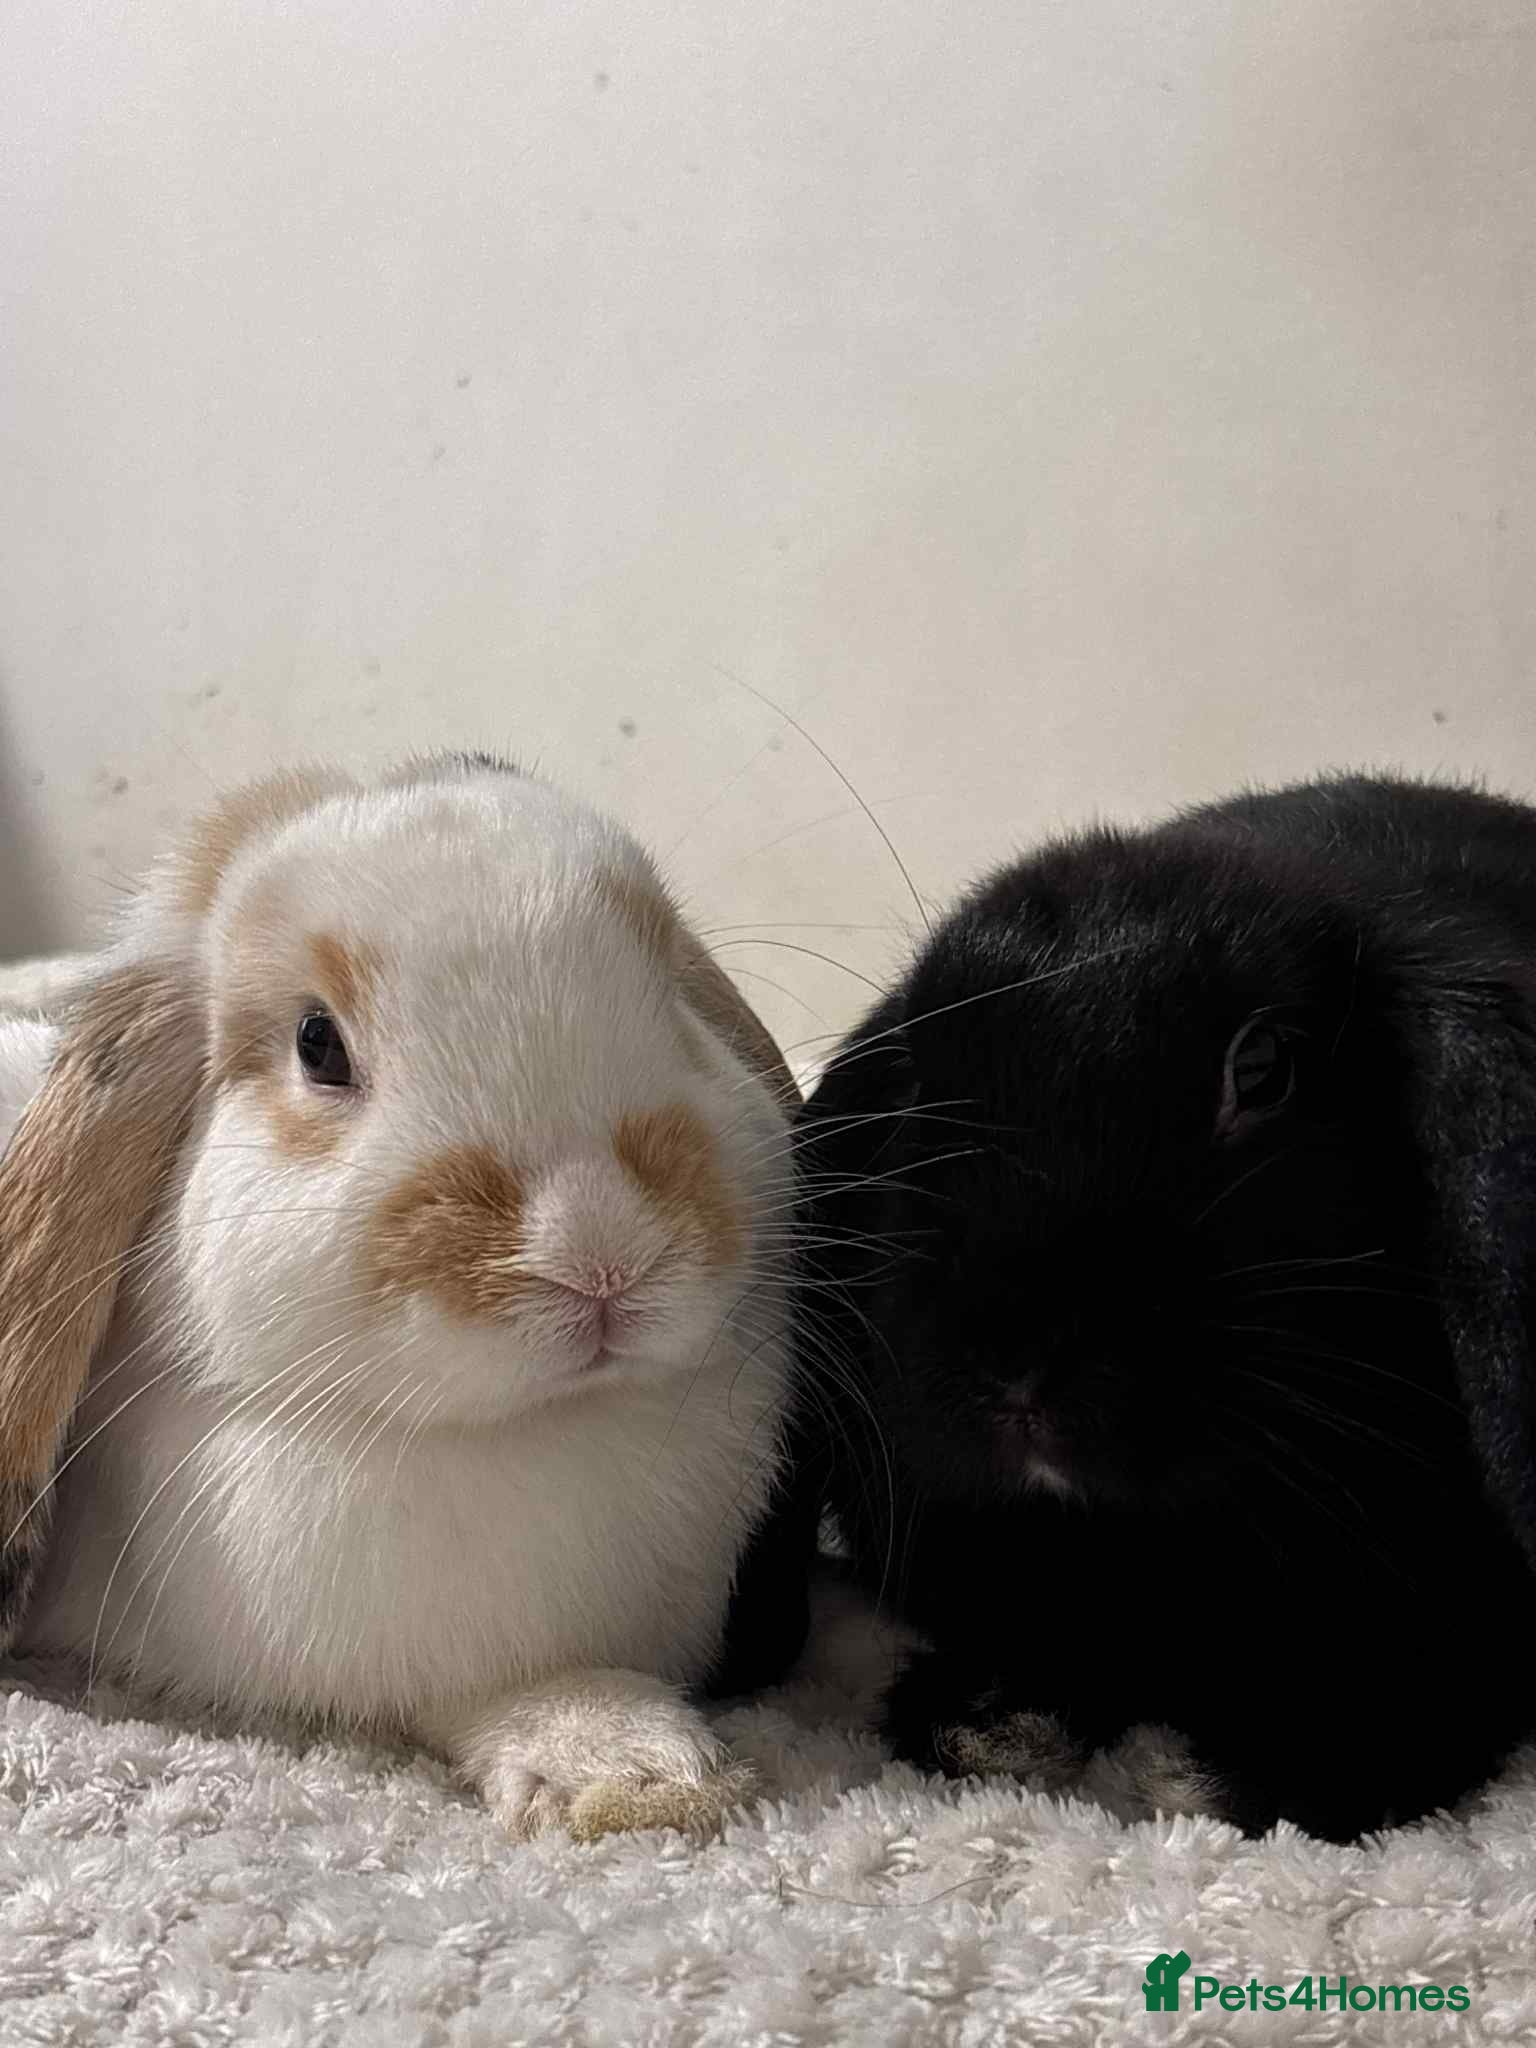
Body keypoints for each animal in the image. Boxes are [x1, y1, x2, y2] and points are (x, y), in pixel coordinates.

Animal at [0, 751, 799, 1843]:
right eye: (317, 1044)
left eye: (673, 990)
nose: (600, 1254)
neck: (533, 1434)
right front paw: (625, 1764)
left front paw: (640, 1775)